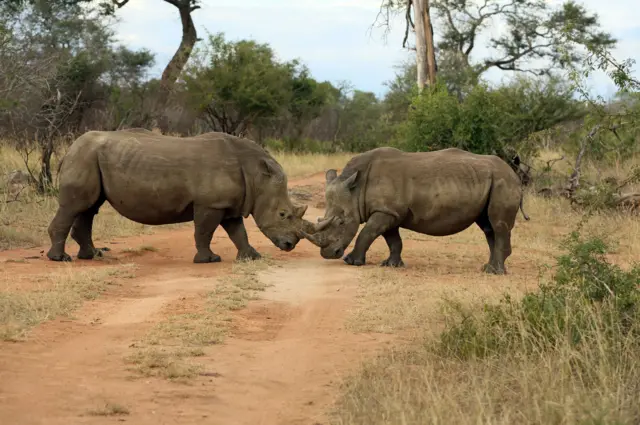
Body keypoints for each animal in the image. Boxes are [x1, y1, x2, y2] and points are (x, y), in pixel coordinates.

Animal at [47, 129, 320, 262]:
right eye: (283, 214)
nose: (290, 245)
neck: (256, 174)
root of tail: (69, 149)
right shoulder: (211, 203)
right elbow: (205, 231)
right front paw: (209, 260)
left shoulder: (228, 203)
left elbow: (237, 231)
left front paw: (252, 257)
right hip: (84, 157)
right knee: (76, 206)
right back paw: (61, 259)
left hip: (91, 157)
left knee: (89, 208)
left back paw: (91, 256)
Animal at [304, 147, 528, 274]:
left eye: (342, 222)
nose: (328, 254)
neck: (356, 189)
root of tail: (515, 175)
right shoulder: (389, 211)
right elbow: (393, 240)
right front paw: (391, 265)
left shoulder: (385, 211)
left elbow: (366, 233)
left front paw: (352, 262)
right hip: (491, 181)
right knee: (488, 227)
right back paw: (488, 268)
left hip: (502, 182)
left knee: (497, 225)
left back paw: (495, 273)